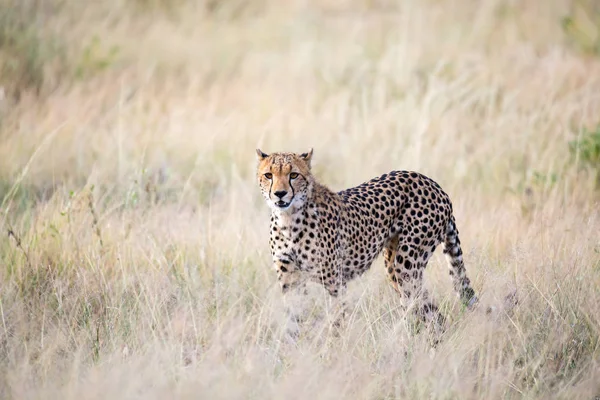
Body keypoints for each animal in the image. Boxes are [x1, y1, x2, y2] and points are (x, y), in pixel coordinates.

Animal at [255, 148, 476, 336]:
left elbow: (336, 321)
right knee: (429, 311)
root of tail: (431, 182)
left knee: (424, 311)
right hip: (394, 266)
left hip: (406, 265)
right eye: (269, 175)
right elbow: (292, 320)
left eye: (293, 175)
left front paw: (332, 351)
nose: (280, 194)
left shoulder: (335, 283)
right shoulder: (290, 281)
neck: (289, 219)